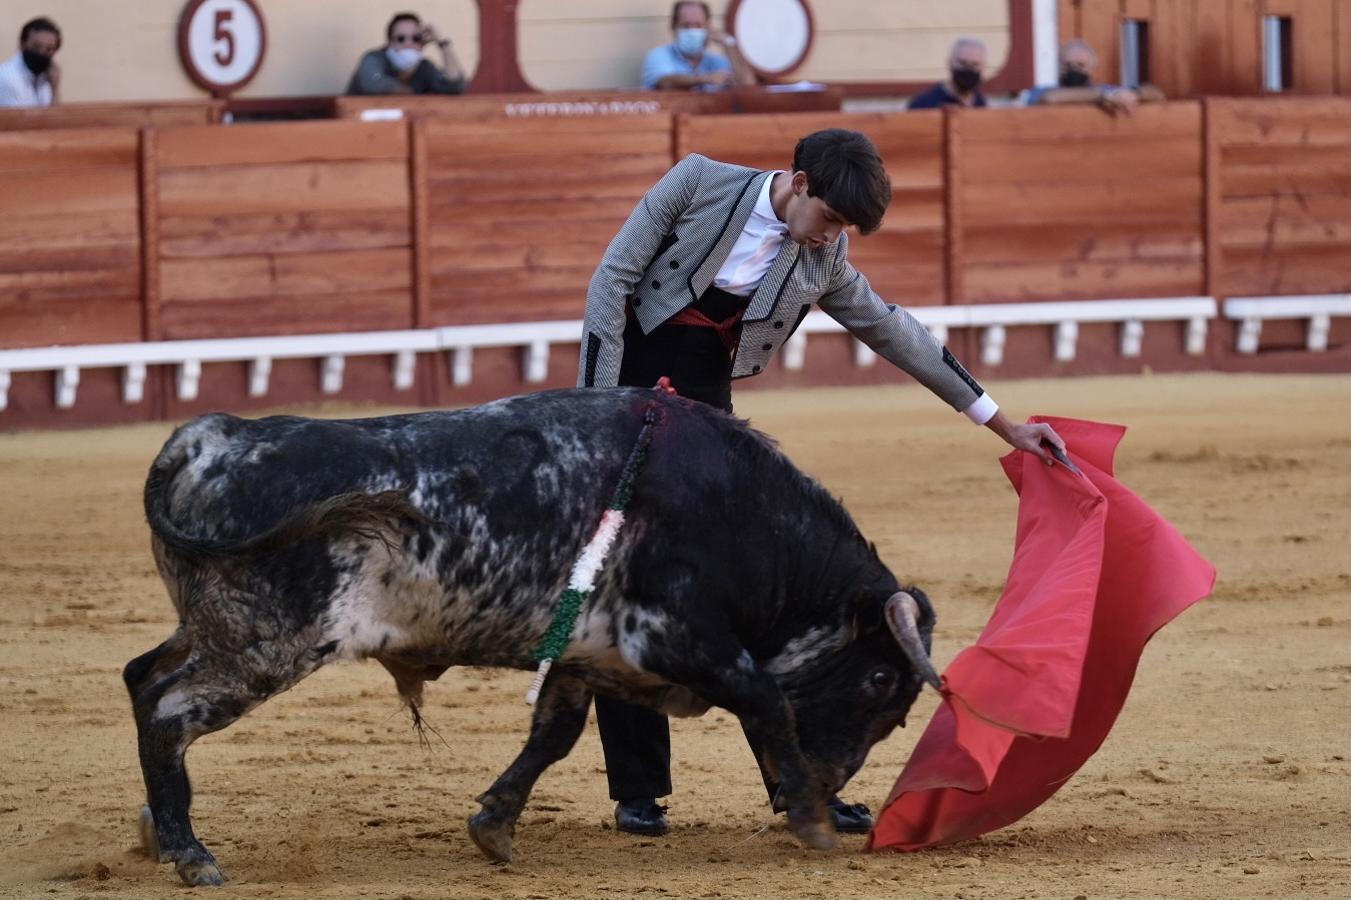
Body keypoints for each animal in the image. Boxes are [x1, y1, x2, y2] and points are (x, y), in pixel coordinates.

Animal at [124, 386, 940, 881]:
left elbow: (554, 737)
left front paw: (493, 824)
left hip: (211, 627)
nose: (832, 787)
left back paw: (160, 830)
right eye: (878, 680)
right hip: (265, 642)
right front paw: (811, 823)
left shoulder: (582, 654)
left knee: (142, 677)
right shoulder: (677, 639)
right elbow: (767, 699)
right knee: (169, 710)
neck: (747, 520)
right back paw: (192, 854)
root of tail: (205, 439)